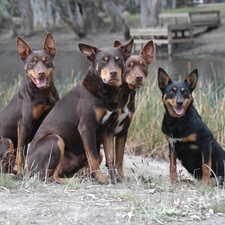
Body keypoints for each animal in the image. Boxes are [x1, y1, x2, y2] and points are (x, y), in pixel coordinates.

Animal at [0, 32, 59, 174]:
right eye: (32, 62)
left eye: (46, 61)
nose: (41, 73)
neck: (43, 93)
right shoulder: (24, 124)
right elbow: (21, 154)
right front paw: (23, 172)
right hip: (7, 141)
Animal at [25, 37, 134, 184]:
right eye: (103, 60)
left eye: (119, 60)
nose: (113, 73)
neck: (105, 91)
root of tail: (27, 168)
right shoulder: (87, 127)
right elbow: (93, 157)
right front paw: (101, 178)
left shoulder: (108, 130)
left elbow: (111, 157)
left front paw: (115, 177)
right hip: (55, 139)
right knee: (47, 176)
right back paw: (74, 180)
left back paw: (80, 175)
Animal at [102, 39, 155, 182]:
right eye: (128, 66)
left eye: (143, 66)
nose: (139, 77)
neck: (125, 95)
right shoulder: (109, 131)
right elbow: (111, 157)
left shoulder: (123, 132)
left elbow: (119, 158)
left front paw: (121, 175)